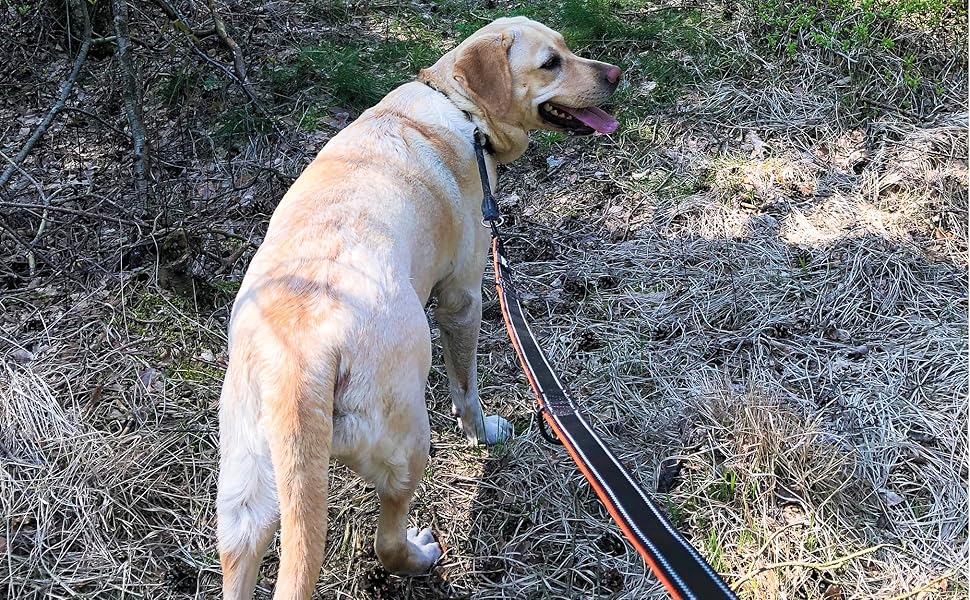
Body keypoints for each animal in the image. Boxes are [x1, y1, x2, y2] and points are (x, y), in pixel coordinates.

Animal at [216, 16, 616, 596]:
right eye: (550, 63)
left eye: (565, 48)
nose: (615, 75)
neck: (459, 106)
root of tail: (302, 362)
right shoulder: (463, 297)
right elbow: (466, 388)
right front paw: (483, 432)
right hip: (407, 445)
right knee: (386, 540)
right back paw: (420, 555)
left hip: (245, 497)